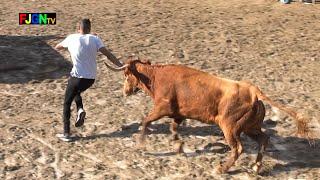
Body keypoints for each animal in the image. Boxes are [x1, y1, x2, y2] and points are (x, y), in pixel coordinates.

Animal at [104, 58, 308, 174]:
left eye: (126, 75)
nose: (125, 91)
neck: (155, 77)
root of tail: (253, 92)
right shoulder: (178, 114)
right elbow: (173, 128)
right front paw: (179, 146)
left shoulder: (162, 108)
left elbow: (146, 120)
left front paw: (141, 143)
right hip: (251, 127)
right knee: (264, 139)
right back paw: (256, 167)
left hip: (230, 128)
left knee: (238, 148)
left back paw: (222, 169)